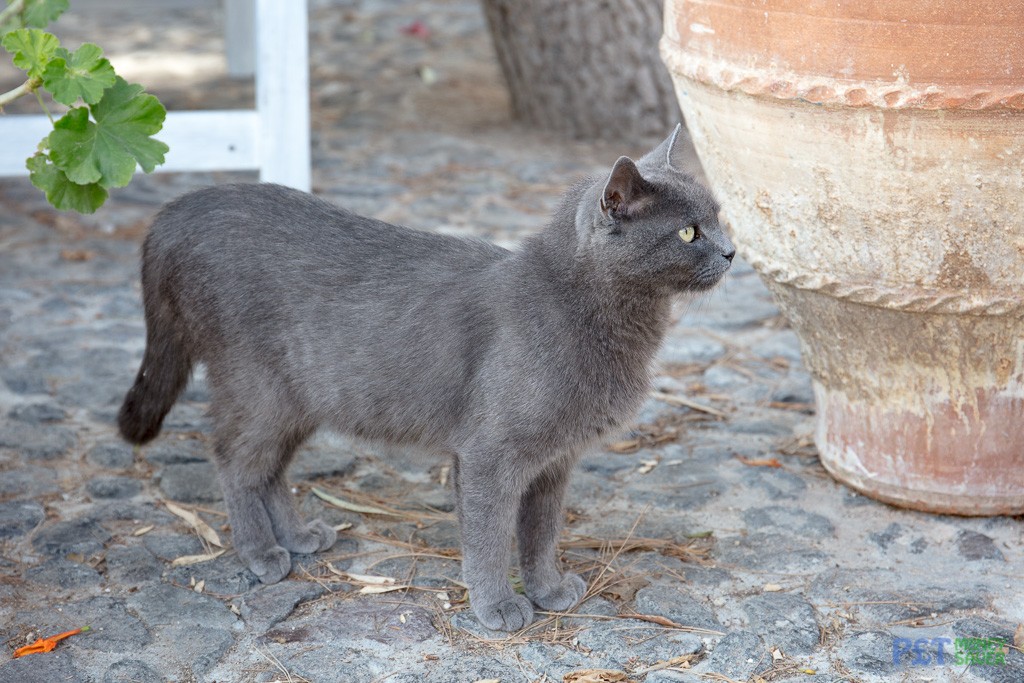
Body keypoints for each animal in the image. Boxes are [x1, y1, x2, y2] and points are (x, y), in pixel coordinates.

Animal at [117, 126, 729, 630]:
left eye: (720, 218)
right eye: (688, 232)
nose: (730, 250)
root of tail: (181, 208)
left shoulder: (555, 462)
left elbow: (541, 533)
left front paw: (548, 589)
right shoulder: (490, 455)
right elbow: (488, 538)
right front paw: (498, 606)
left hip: (302, 399)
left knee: (269, 467)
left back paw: (298, 537)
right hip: (258, 388)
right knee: (234, 461)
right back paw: (260, 553)